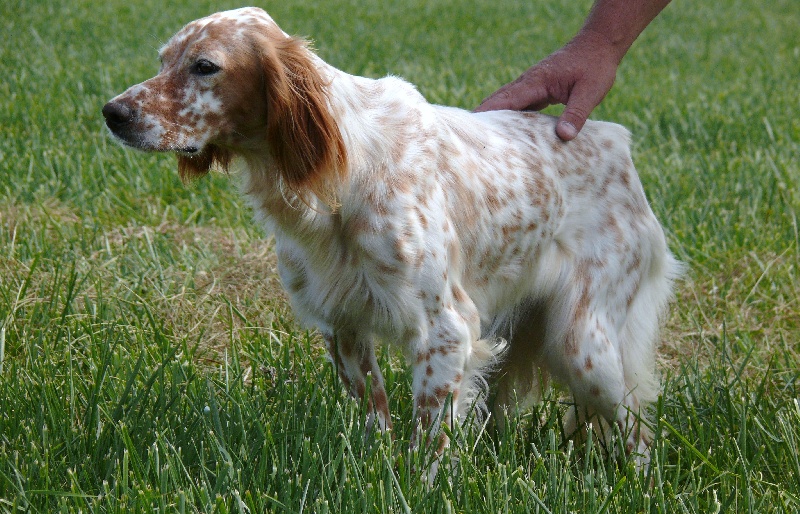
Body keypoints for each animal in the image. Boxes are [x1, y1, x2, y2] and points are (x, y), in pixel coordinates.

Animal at [103, 7, 680, 472]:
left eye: (205, 66)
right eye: (163, 60)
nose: (113, 113)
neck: (340, 172)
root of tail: (617, 143)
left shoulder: (444, 329)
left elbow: (429, 438)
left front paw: (422, 485)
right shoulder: (343, 323)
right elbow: (374, 419)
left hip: (585, 345)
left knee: (637, 429)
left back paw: (639, 484)